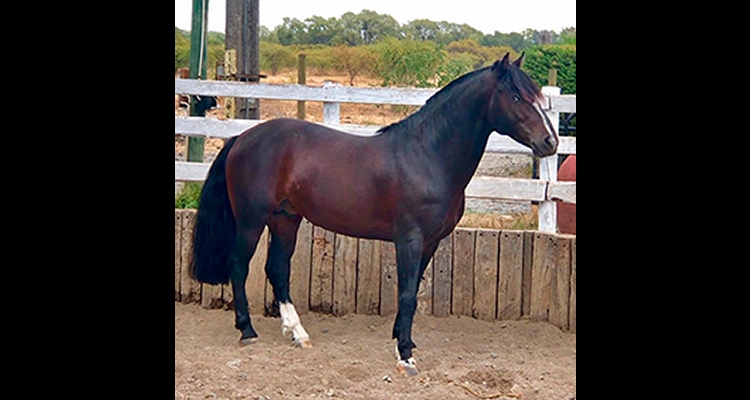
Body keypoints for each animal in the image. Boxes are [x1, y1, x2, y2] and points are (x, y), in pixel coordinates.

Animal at [194, 52, 560, 376]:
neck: (427, 155)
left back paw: (297, 333)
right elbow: (408, 295)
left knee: (278, 269)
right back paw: (247, 331)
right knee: (239, 266)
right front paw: (406, 356)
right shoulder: (409, 240)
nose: (550, 142)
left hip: (285, 219)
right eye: (516, 96)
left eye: (538, 97)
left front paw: (402, 339)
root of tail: (242, 137)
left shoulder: (430, 243)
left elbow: (411, 293)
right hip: (251, 220)